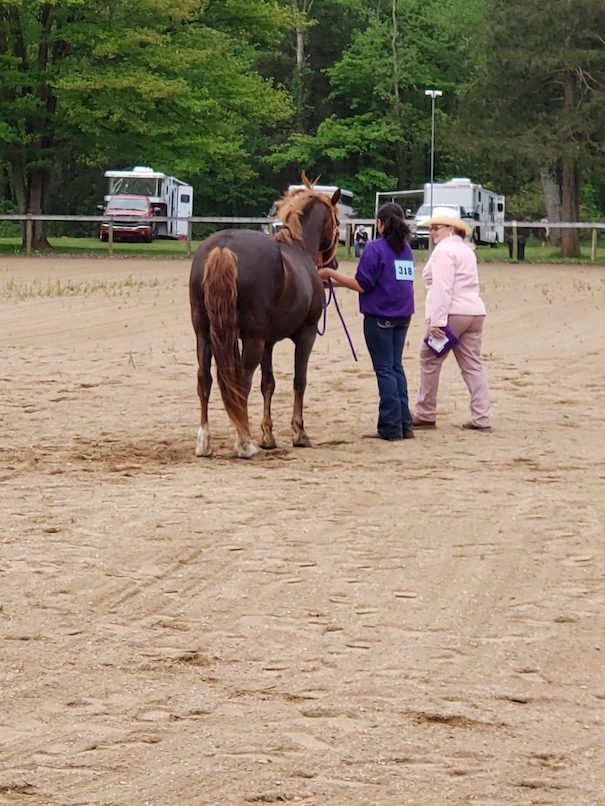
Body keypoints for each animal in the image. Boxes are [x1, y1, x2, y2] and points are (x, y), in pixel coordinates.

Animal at [189, 179, 340, 458]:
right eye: (336, 221)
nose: (333, 265)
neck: (298, 247)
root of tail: (224, 247)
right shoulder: (306, 335)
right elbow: (299, 381)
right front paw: (299, 433)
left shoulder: (268, 342)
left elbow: (268, 384)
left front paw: (268, 436)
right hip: (252, 339)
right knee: (241, 382)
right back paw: (244, 443)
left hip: (204, 334)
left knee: (205, 379)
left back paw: (205, 442)